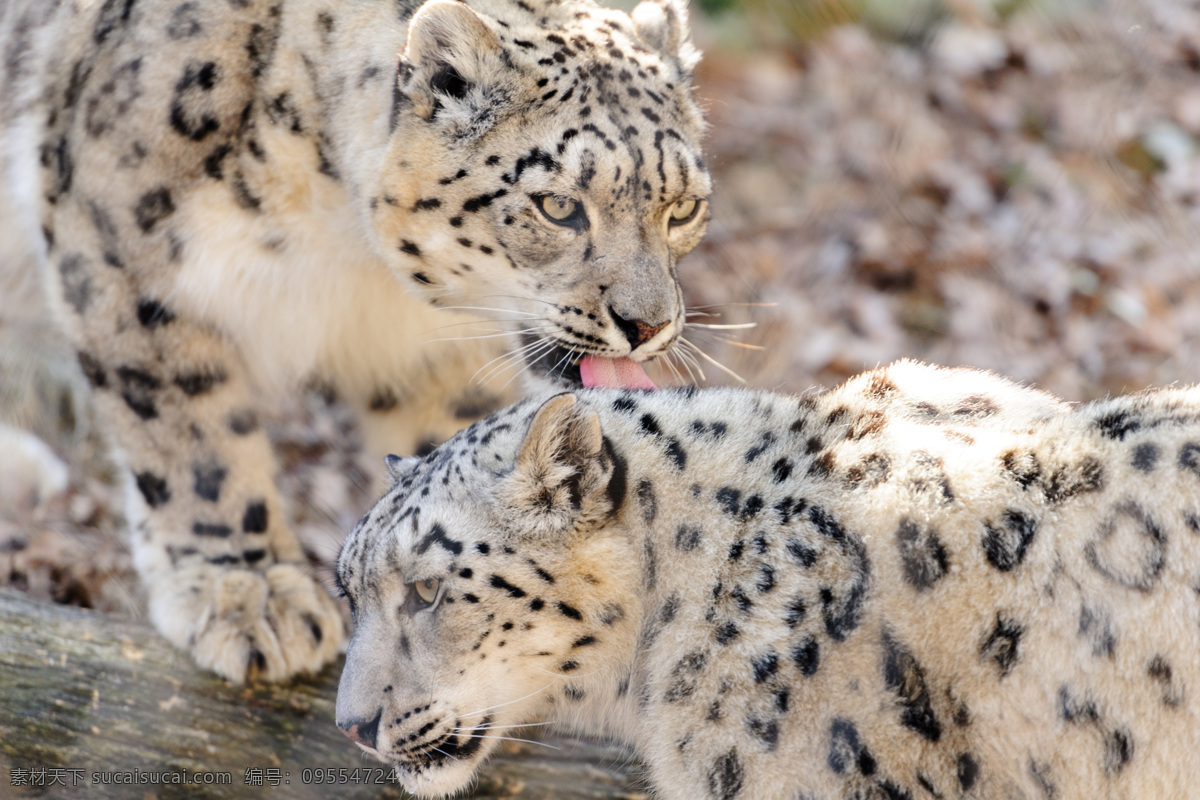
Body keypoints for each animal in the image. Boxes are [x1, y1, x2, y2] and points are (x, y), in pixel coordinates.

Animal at [0, 0, 710, 681]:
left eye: (683, 208)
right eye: (558, 207)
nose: (650, 326)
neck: (349, 250)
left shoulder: (430, 358)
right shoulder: (127, 257)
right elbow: (191, 439)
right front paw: (251, 591)